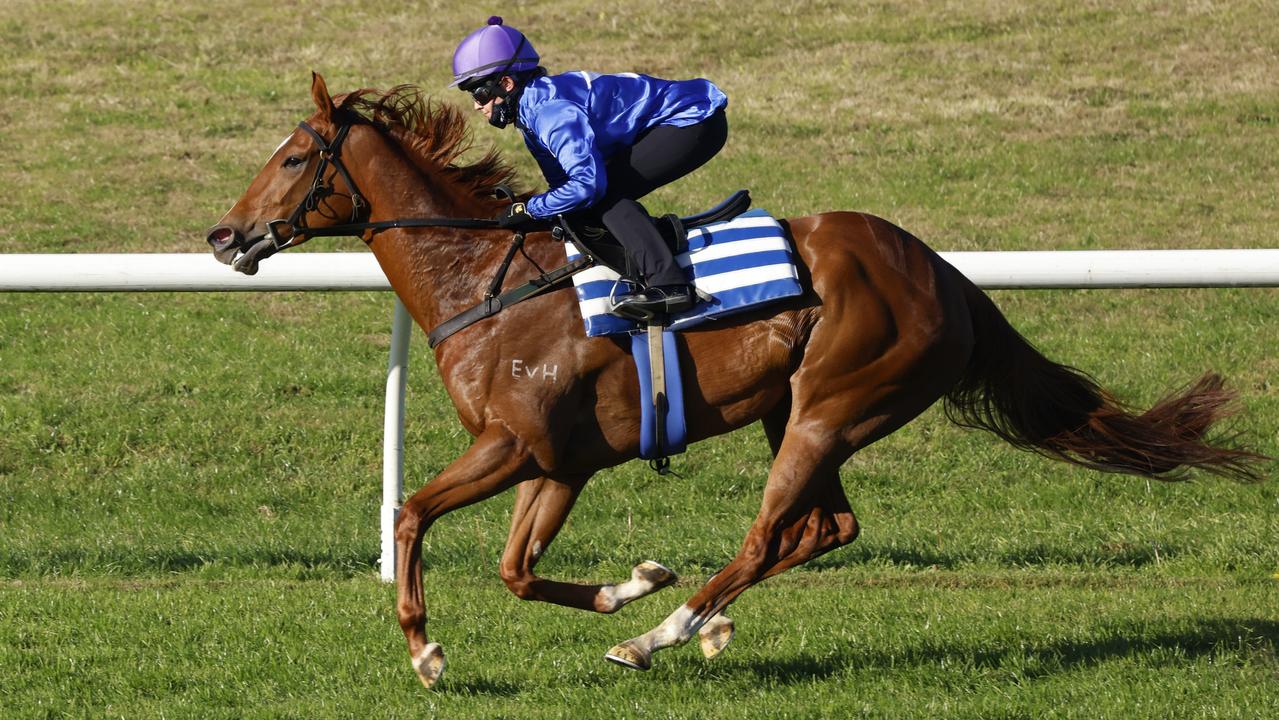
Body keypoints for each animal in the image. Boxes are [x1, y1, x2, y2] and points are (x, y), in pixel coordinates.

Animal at [204, 76, 1263, 690]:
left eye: (293, 157)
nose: (223, 235)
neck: (485, 282)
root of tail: (942, 271)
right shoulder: (558, 460)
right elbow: (514, 569)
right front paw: (630, 582)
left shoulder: (514, 446)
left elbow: (414, 513)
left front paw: (426, 649)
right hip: (798, 411)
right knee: (827, 527)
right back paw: (694, 622)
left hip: (834, 405)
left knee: (771, 532)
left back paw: (667, 635)